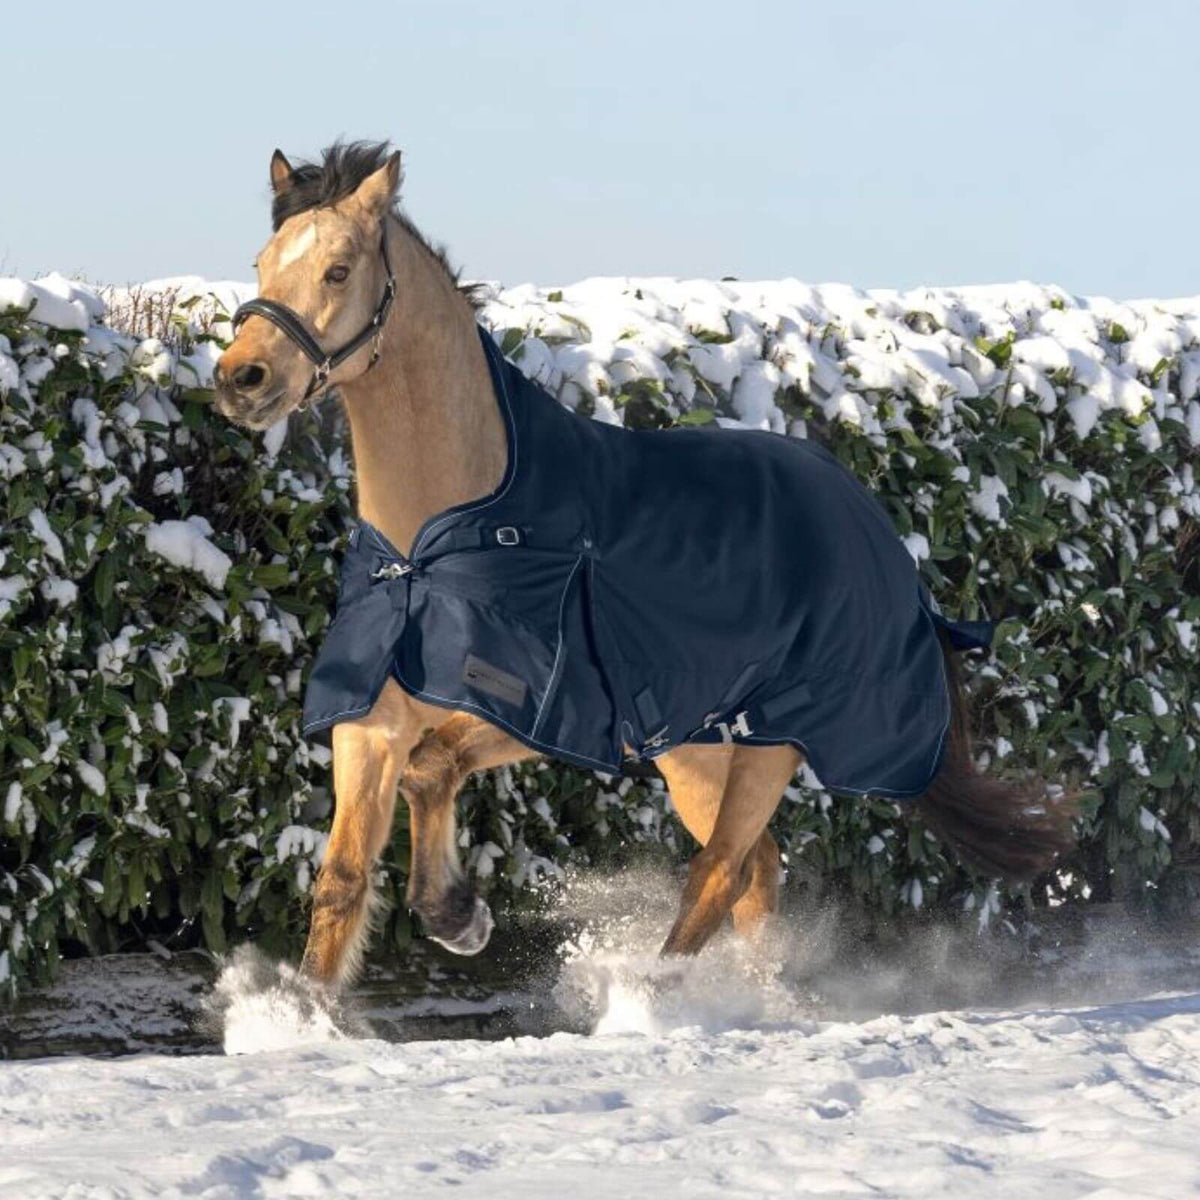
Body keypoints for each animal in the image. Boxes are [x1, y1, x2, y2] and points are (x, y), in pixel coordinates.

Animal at [214, 140, 1076, 990]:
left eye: (337, 270)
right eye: (261, 263)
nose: (241, 379)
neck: (430, 548)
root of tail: (874, 526)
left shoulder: (540, 713)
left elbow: (434, 767)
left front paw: (459, 917)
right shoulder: (371, 721)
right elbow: (342, 880)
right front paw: (303, 1013)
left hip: (773, 743)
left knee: (720, 872)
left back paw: (654, 999)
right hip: (696, 750)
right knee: (755, 872)